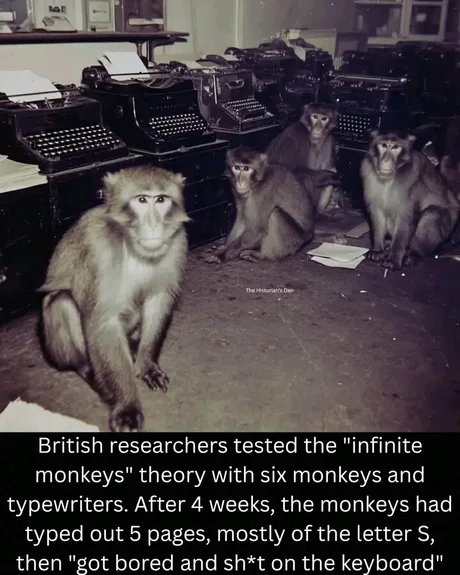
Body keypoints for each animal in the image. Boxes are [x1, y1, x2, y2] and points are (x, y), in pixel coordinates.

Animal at [38, 166, 190, 432]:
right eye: (142, 200)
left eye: (161, 200)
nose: (154, 224)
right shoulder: (99, 250)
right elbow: (103, 321)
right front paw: (127, 405)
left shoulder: (178, 242)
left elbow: (158, 299)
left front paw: (147, 364)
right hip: (54, 349)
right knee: (62, 302)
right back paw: (87, 370)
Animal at [361, 129, 460, 271]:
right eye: (384, 145)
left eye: (395, 147)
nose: (386, 159)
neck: (390, 178)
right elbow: (377, 211)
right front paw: (377, 250)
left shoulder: (412, 180)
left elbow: (405, 218)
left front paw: (393, 260)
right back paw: (389, 244)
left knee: (432, 213)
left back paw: (413, 254)